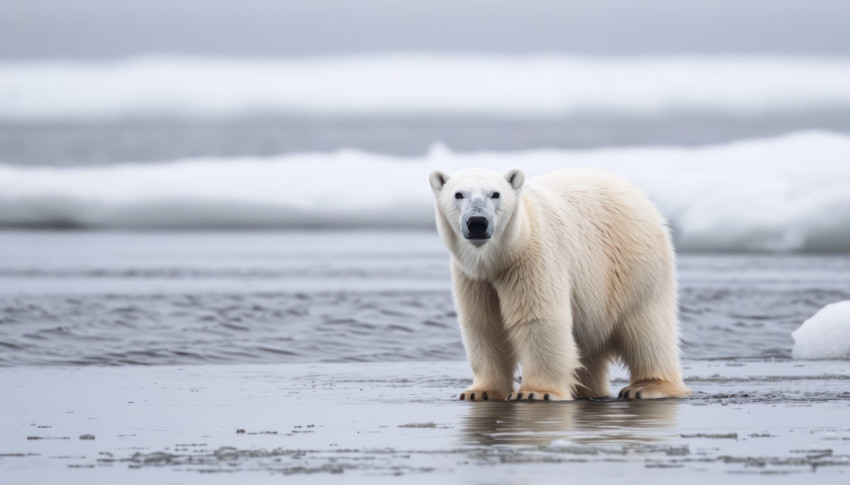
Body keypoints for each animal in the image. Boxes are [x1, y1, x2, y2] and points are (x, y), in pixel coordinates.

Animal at [430, 167, 688, 400]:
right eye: (458, 194)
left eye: (495, 194)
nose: (477, 222)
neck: (503, 255)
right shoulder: (474, 278)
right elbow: (484, 324)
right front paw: (480, 391)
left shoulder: (532, 259)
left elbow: (538, 318)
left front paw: (536, 392)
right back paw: (587, 390)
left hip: (634, 264)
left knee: (646, 327)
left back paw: (647, 387)